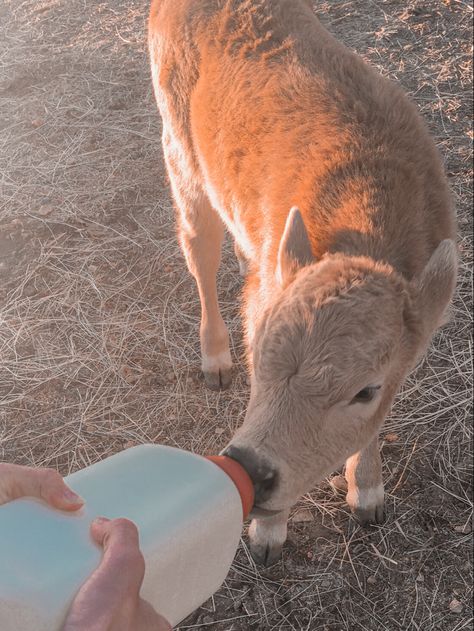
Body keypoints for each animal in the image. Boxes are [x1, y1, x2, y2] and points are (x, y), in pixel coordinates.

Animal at [149, 0, 460, 564]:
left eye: (365, 390)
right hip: (181, 161)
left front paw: (368, 495)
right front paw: (267, 535)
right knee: (199, 252)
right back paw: (214, 359)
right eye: (259, 355)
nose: (252, 470)